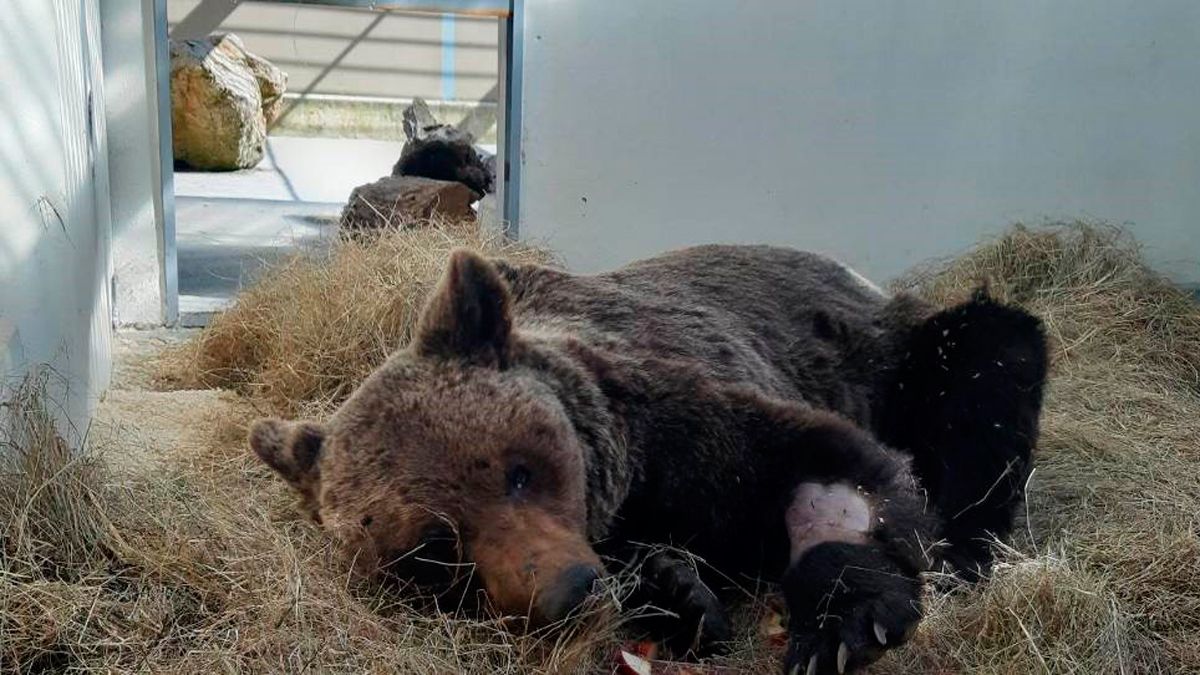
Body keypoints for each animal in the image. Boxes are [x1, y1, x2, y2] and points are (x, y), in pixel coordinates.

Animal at [250, 244, 1047, 674]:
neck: (627, 489)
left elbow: (823, 469)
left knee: (989, 367)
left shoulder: (686, 416)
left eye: (518, 470)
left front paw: (843, 627)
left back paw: (970, 549)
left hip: (905, 354)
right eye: (433, 550)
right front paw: (677, 593)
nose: (566, 589)